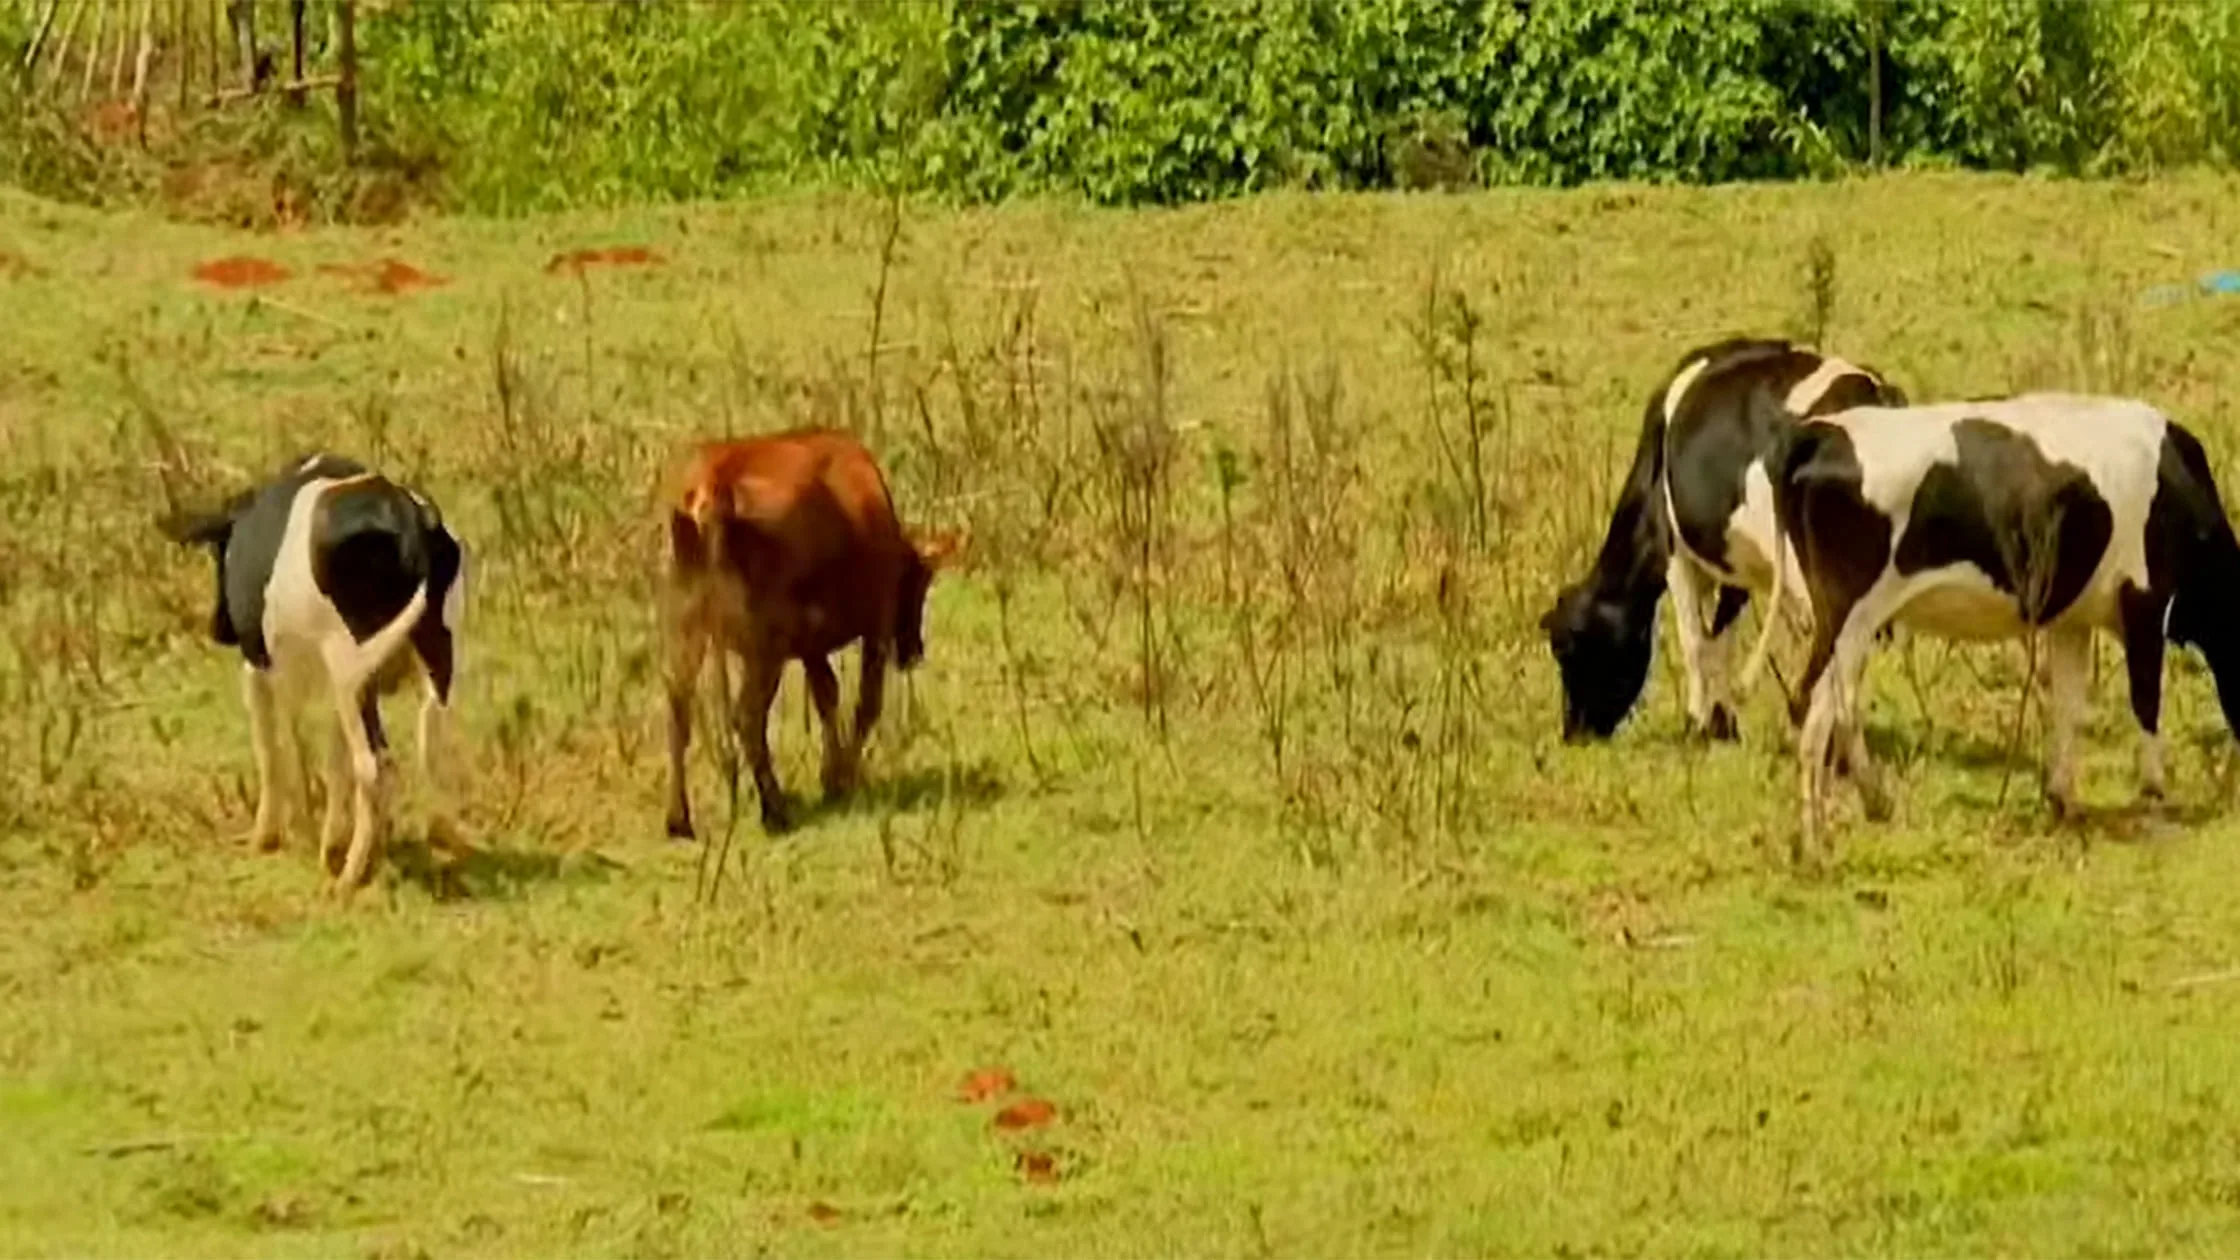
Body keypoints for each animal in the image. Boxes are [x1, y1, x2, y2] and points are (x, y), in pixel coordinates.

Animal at [158, 452, 468, 894]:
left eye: (219, 554)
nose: (218, 628)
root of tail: (412, 523)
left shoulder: (265, 668)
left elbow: (279, 748)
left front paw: (276, 837)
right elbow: (331, 762)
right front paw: (328, 841)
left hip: (348, 673)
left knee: (373, 767)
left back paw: (349, 877)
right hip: (428, 671)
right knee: (431, 756)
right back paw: (441, 845)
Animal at [661, 428, 963, 839]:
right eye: (920, 582)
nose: (913, 651)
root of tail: (715, 482)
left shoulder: (810, 643)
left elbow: (826, 695)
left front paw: (830, 776)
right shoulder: (876, 626)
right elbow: (866, 703)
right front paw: (843, 777)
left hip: (687, 624)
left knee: (679, 704)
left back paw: (679, 819)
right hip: (764, 646)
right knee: (747, 716)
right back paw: (775, 810)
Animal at [1540, 337, 1907, 744]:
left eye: (1566, 648)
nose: (1574, 733)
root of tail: (1874, 392)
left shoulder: (1676, 555)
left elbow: (1696, 642)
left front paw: (1697, 723)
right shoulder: (1735, 564)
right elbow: (1723, 639)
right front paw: (1723, 724)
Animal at [1746, 392, 2240, 863]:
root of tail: (1823, 431)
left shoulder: (2072, 621)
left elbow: (2069, 707)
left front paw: (2063, 799)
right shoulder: (2145, 600)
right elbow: (2146, 702)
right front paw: (2156, 796)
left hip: (1833, 617)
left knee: (1819, 702)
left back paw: (1855, 812)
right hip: (1852, 616)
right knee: (1823, 710)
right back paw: (1820, 840)